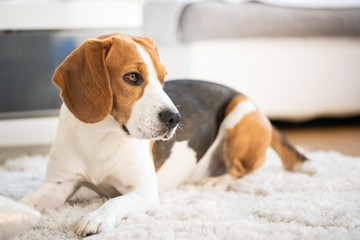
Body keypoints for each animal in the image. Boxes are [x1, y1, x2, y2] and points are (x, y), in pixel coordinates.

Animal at [20, 33, 316, 236]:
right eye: (132, 77)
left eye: (163, 78)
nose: (175, 118)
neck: (101, 135)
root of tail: (253, 103)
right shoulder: (59, 185)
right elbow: (27, 202)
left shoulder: (144, 191)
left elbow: (115, 202)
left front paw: (96, 217)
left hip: (239, 115)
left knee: (242, 170)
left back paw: (216, 181)